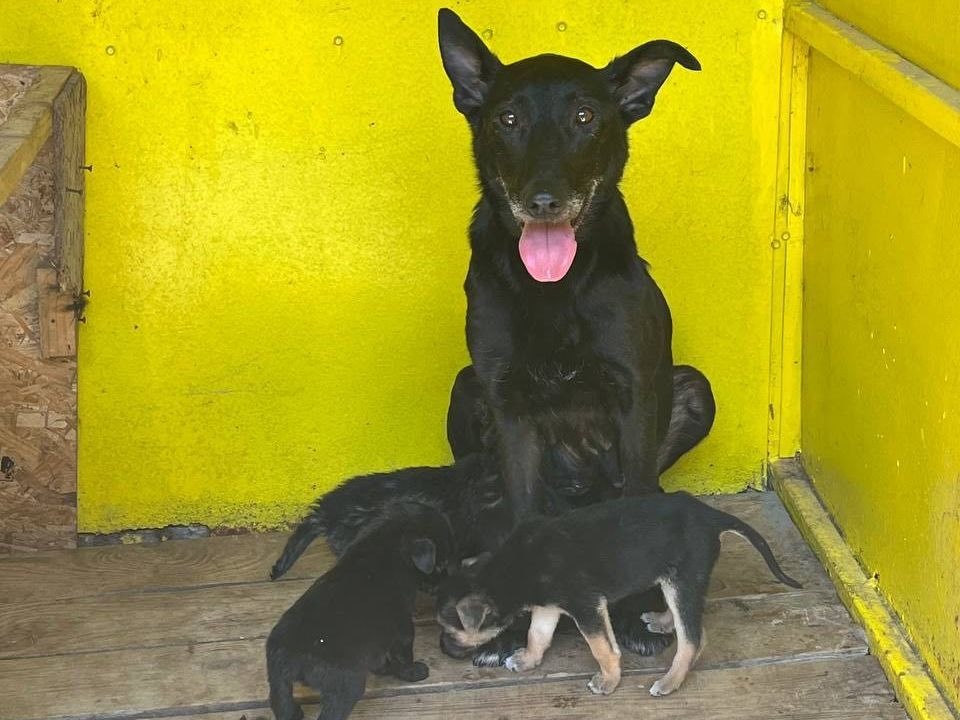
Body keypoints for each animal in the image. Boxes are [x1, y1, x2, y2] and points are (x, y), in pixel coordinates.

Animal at [264, 500, 456, 720]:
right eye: (441, 564)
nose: (445, 585)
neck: (381, 544)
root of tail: (292, 657)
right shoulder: (402, 628)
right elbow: (404, 655)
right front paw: (413, 672)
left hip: (278, 681)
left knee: (282, 703)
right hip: (346, 686)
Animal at [438, 11, 716, 660]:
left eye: (586, 117)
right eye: (507, 119)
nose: (543, 201)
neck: (553, 287)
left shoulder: (636, 395)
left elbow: (639, 497)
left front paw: (637, 612)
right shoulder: (506, 403)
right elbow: (519, 508)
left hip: (693, 388)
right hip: (465, 391)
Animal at [438, 492, 800, 696]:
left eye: (451, 630)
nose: (443, 651)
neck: (509, 569)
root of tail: (712, 516)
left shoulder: (586, 607)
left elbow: (602, 648)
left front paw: (608, 682)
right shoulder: (549, 605)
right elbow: (536, 635)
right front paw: (528, 659)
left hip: (684, 578)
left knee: (694, 638)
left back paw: (670, 681)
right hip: (676, 579)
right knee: (686, 615)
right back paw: (663, 620)